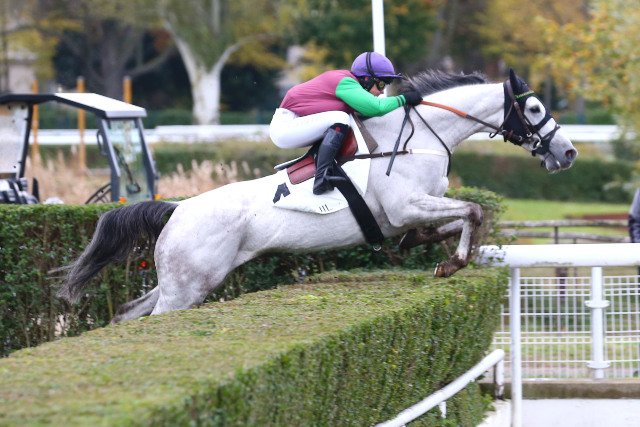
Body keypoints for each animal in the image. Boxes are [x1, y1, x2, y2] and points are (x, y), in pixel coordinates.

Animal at [57, 69, 577, 323]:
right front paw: (453, 263)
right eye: (534, 108)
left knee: (132, 312)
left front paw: (432, 250)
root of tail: (177, 209)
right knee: (155, 315)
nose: (569, 153)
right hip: (189, 286)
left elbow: (453, 220)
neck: (421, 136)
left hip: (182, 281)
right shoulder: (404, 206)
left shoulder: (411, 213)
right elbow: (474, 209)